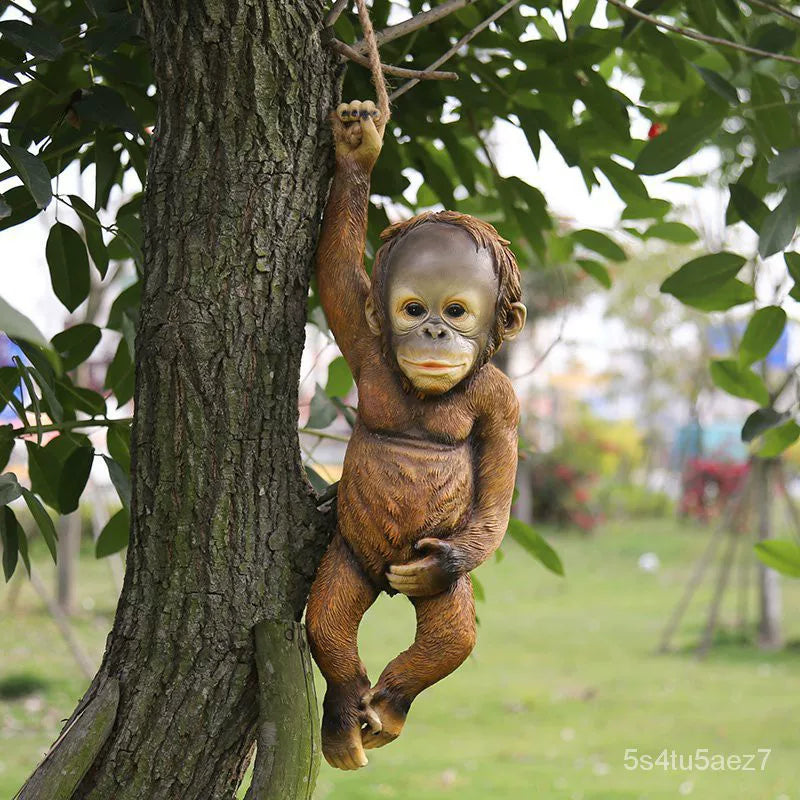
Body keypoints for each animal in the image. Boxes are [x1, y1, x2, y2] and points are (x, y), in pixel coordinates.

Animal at [306, 99, 527, 771]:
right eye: (411, 308)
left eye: (455, 310)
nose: (432, 331)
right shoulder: (364, 344)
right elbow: (336, 273)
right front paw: (358, 147)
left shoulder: (502, 400)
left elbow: (499, 490)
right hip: (351, 555)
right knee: (327, 618)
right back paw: (347, 717)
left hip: (420, 578)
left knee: (452, 634)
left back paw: (389, 707)